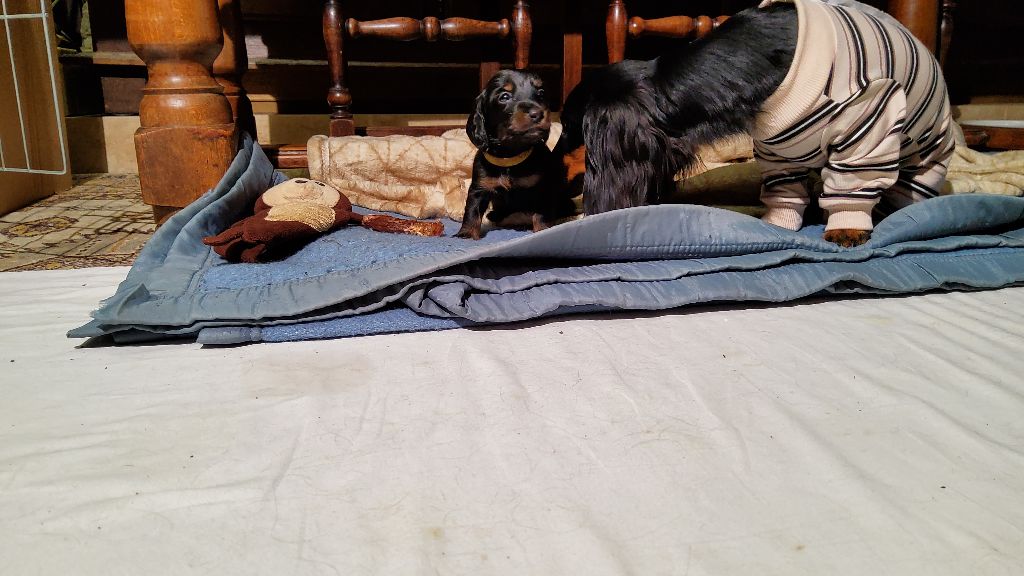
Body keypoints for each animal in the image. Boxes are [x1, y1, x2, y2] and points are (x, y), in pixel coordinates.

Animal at [456, 70, 577, 240]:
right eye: (504, 96)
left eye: (541, 93)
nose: (537, 113)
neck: (510, 157)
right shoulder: (479, 187)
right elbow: (472, 211)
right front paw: (466, 234)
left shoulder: (542, 187)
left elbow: (541, 213)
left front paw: (543, 230)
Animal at [559, 0, 955, 247]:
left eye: (569, 130)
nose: (557, 171)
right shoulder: (780, 147)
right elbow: (784, 192)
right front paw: (777, 226)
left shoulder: (868, 117)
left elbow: (852, 184)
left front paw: (846, 227)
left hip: (925, 153)